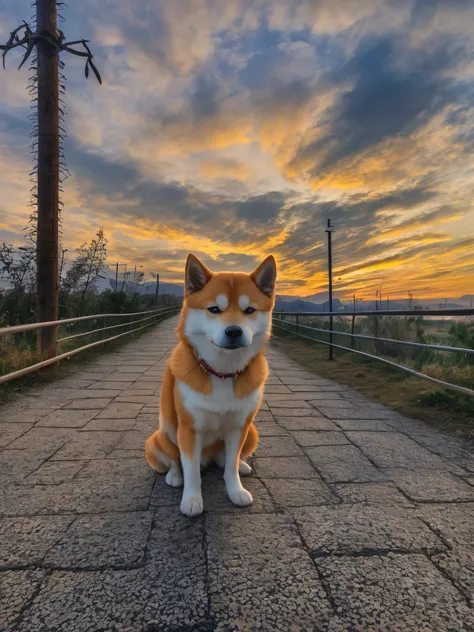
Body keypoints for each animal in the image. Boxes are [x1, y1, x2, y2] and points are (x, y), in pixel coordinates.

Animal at [146, 254, 276, 516]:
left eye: (249, 310)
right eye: (214, 309)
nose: (234, 331)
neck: (222, 372)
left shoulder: (239, 426)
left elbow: (231, 467)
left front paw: (235, 490)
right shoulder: (188, 428)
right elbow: (191, 470)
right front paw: (192, 499)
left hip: (252, 432)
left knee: (226, 461)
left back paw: (242, 465)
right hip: (160, 436)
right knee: (175, 460)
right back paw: (175, 476)